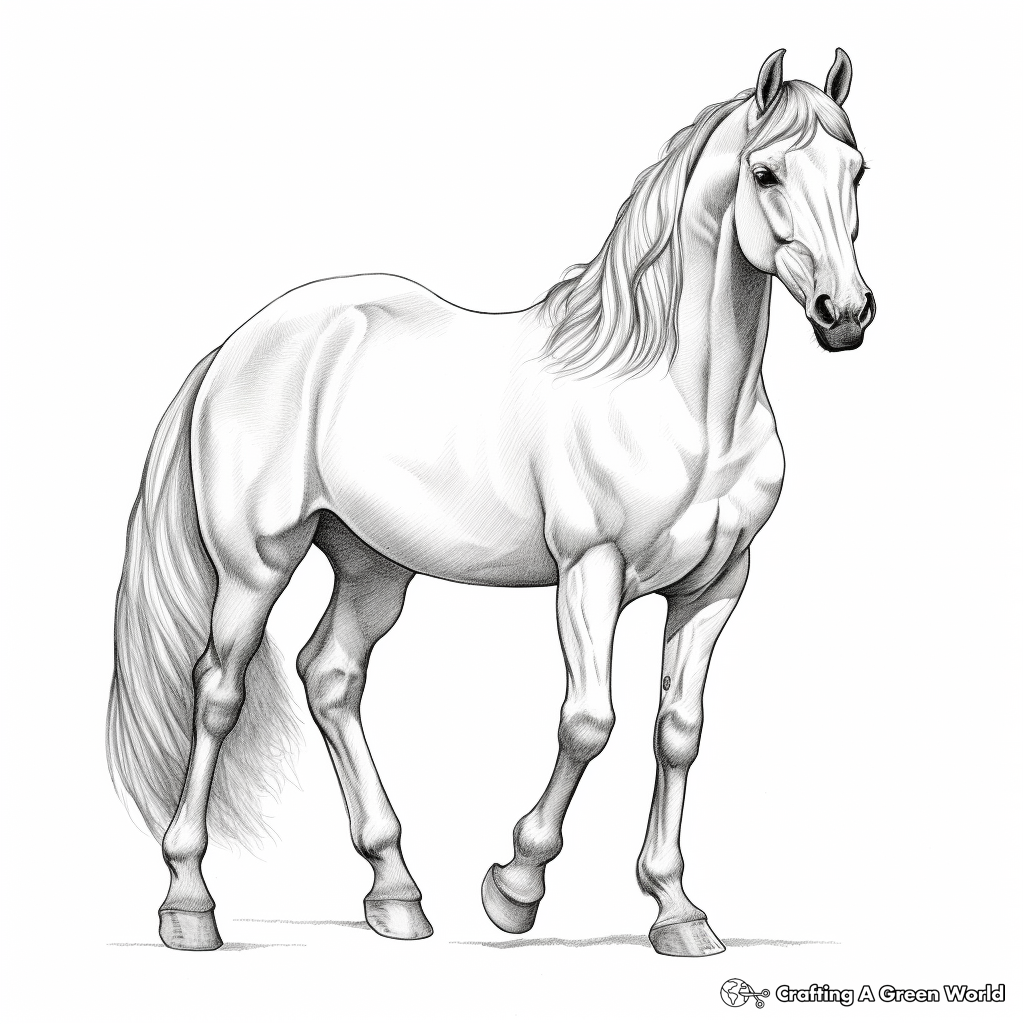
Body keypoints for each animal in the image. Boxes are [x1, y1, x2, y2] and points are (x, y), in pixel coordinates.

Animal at [107, 48, 874, 955]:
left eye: (857, 171)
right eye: (765, 173)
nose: (846, 314)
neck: (680, 402)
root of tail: (238, 347)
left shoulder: (718, 585)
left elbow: (678, 733)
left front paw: (678, 911)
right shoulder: (590, 572)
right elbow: (588, 721)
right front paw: (515, 888)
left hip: (374, 567)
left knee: (330, 676)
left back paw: (397, 895)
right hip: (255, 567)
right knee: (220, 691)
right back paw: (189, 904)